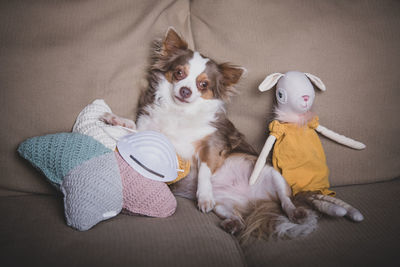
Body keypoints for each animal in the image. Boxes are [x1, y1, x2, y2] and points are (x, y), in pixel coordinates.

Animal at [102, 28, 316, 242]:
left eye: (203, 84)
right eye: (179, 73)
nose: (185, 91)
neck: (180, 112)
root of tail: (255, 202)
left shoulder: (213, 144)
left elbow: (205, 170)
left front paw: (204, 196)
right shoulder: (149, 133)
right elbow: (131, 128)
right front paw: (115, 119)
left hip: (272, 174)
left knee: (285, 200)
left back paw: (295, 213)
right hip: (222, 205)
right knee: (237, 216)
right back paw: (233, 224)